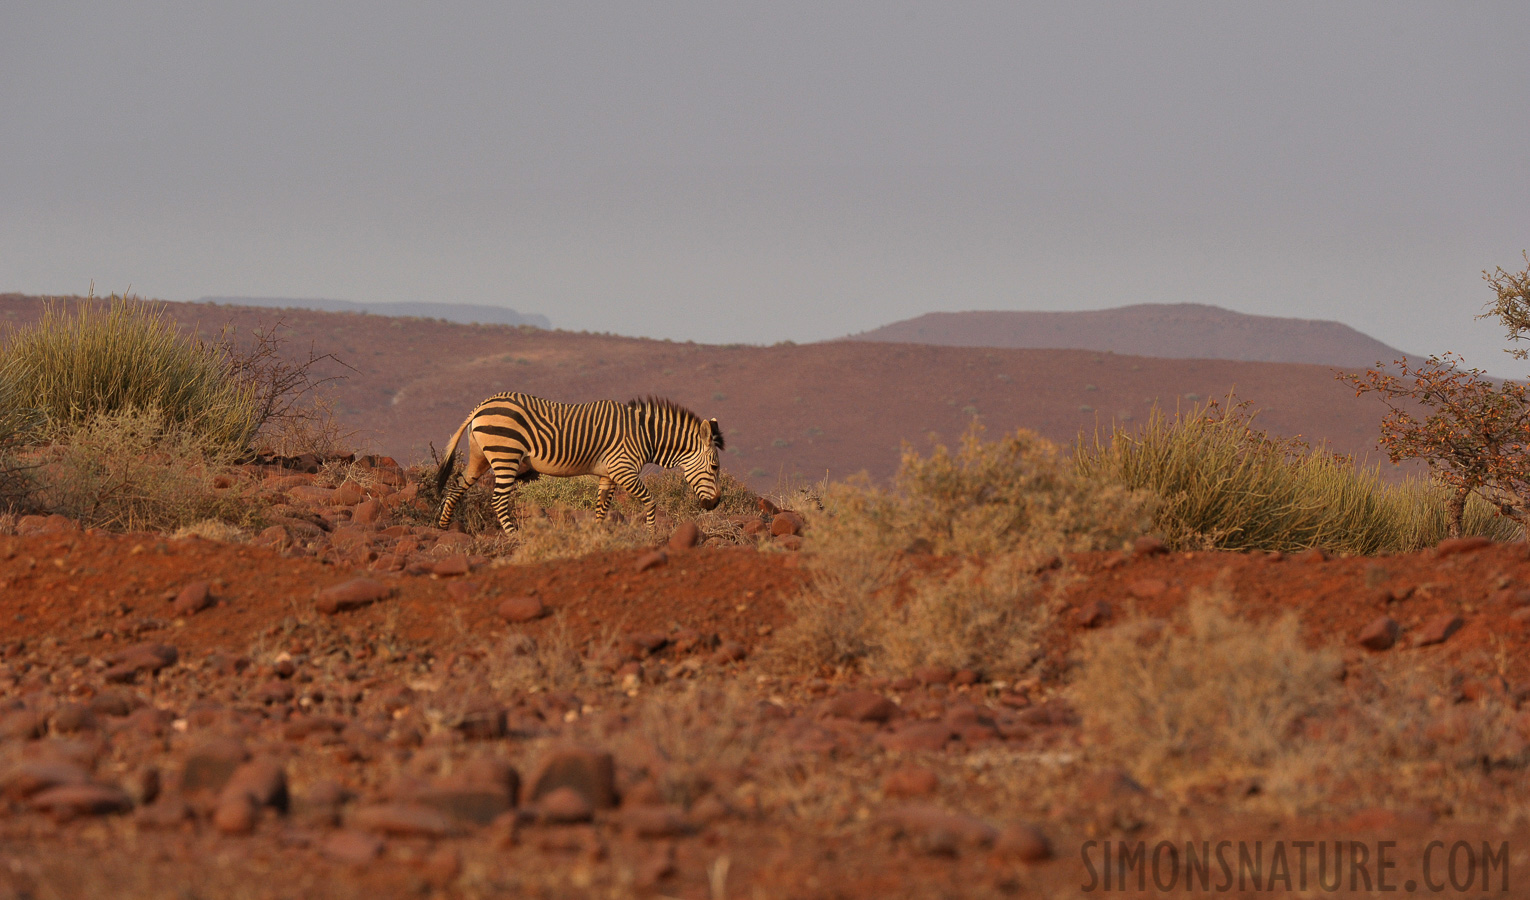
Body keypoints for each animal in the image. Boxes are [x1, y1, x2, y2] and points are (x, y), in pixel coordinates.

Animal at [434, 394, 725, 535]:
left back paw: (444, 527)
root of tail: (482, 405)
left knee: (457, 486)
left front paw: (597, 534)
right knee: (498, 500)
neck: (645, 434)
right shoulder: (623, 469)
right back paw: (513, 535)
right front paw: (653, 534)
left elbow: (601, 508)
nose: (716, 504)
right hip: (505, 455)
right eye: (714, 467)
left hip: (481, 456)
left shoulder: (608, 474)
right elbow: (651, 501)